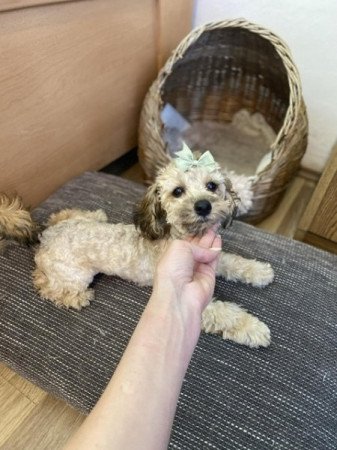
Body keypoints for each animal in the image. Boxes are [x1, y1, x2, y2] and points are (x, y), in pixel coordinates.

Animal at [0, 145, 272, 348]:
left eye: (212, 186)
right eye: (178, 191)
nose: (203, 205)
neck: (180, 236)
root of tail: (45, 236)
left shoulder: (213, 256)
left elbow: (233, 262)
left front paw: (259, 272)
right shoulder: (184, 296)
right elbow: (223, 312)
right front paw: (253, 328)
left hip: (82, 218)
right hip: (74, 276)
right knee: (45, 285)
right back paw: (76, 297)